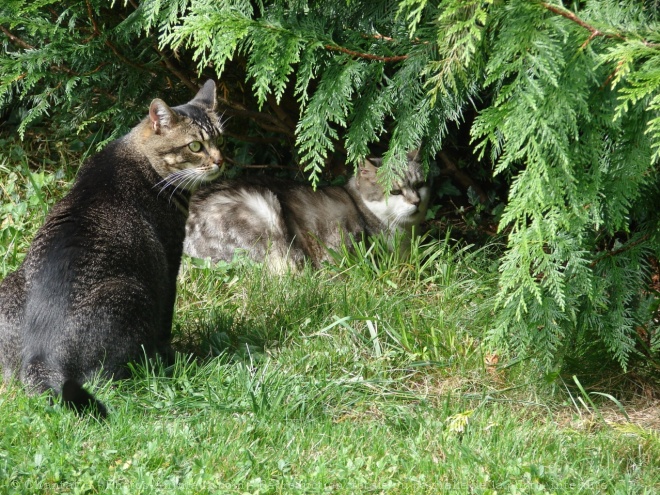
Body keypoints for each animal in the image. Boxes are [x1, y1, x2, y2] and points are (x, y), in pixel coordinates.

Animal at [0, 80, 224, 418]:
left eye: (220, 138)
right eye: (195, 146)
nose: (220, 160)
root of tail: (40, 357)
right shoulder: (170, 257)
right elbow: (167, 318)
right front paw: (170, 353)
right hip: (129, 295)